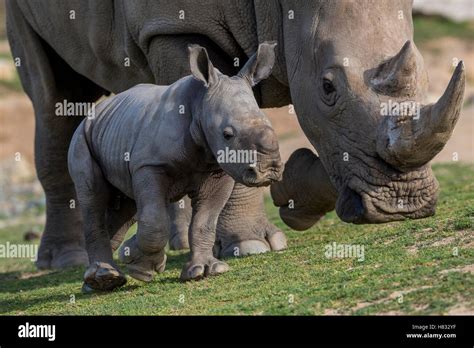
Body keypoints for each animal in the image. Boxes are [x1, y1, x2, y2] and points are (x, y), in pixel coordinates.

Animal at [66, 42, 282, 290]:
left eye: (269, 123)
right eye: (227, 135)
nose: (270, 170)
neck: (199, 104)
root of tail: (94, 112)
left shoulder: (218, 170)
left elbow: (205, 221)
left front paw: (204, 270)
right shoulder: (150, 164)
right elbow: (155, 220)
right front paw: (143, 268)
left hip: (114, 131)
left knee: (126, 207)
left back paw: (97, 282)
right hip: (82, 138)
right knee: (94, 197)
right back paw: (104, 276)